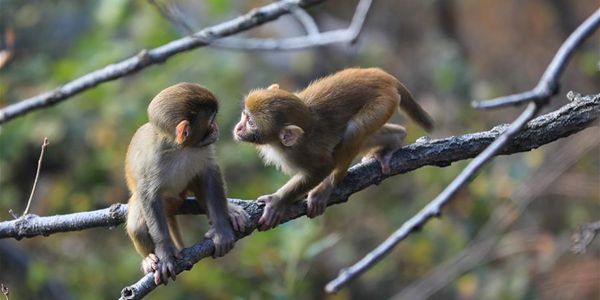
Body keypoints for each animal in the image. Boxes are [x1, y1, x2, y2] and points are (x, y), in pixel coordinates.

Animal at [125, 83, 247, 284]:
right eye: (211, 120)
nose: (216, 128)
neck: (180, 148)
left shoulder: (203, 149)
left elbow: (209, 173)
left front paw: (221, 230)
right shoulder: (153, 159)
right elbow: (148, 195)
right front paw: (165, 252)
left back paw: (229, 211)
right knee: (138, 227)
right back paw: (148, 258)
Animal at [232, 68, 434, 231]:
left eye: (251, 123)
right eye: (244, 114)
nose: (239, 128)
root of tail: (382, 75)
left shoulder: (305, 151)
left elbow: (325, 166)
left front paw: (278, 201)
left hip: (384, 102)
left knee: (354, 129)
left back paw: (330, 183)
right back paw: (396, 137)